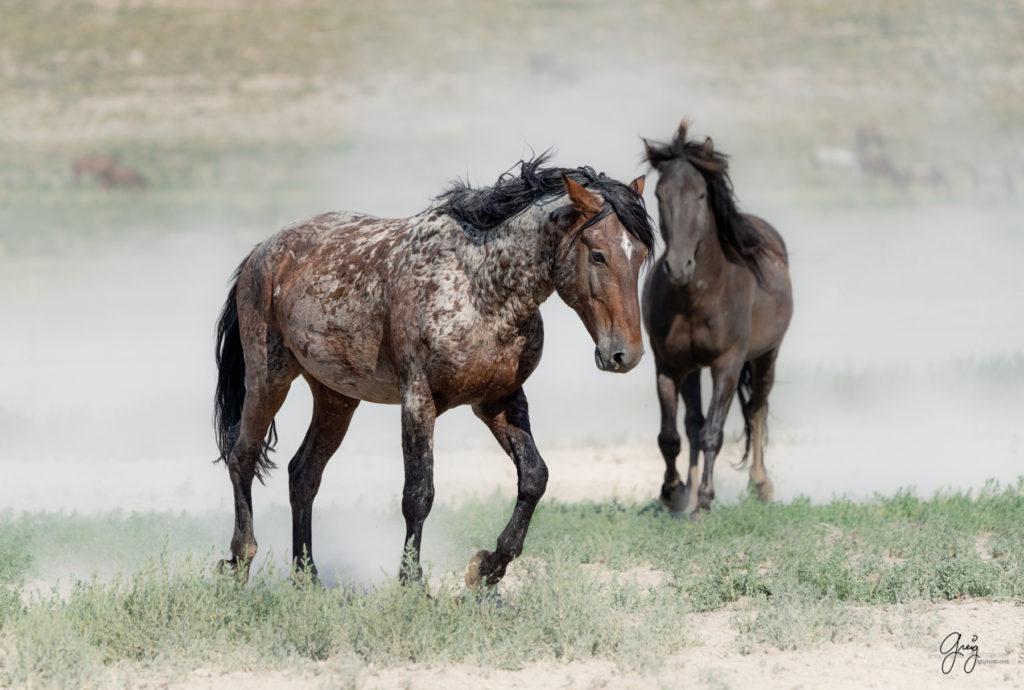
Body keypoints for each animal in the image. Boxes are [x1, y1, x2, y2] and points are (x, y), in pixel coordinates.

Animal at [211, 155, 651, 585]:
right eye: (598, 254)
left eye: (643, 254)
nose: (624, 355)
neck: (479, 287)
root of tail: (263, 250)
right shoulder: (419, 401)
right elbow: (419, 493)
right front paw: (412, 582)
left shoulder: (499, 400)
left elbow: (534, 476)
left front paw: (488, 568)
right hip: (269, 380)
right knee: (242, 455)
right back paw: (240, 560)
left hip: (337, 398)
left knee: (303, 474)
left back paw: (307, 578)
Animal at [638, 120, 790, 513]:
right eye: (659, 194)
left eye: (701, 195)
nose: (679, 266)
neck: (698, 296)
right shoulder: (668, 364)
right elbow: (672, 435)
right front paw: (674, 492)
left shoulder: (728, 363)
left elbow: (713, 434)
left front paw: (705, 501)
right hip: (693, 368)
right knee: (693, 423)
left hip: (767, 355)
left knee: (757, 409)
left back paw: (760, 486)